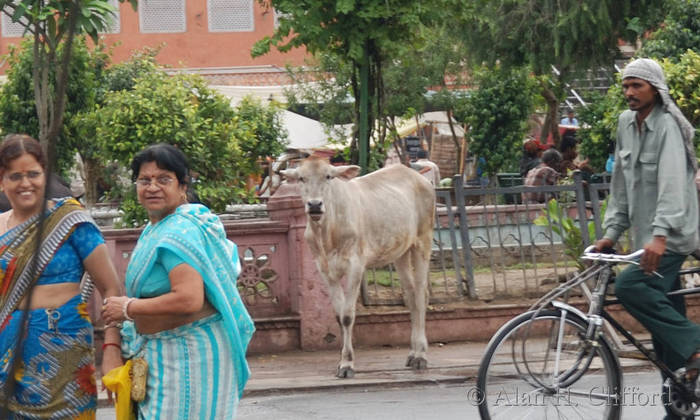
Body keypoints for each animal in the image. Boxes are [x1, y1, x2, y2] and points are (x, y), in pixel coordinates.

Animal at [282, 157, 434, 378]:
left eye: (328, 176)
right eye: (301, 178)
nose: (315, 205)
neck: (328, 231)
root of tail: (418, 177)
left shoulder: (355, 265)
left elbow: (347, 316)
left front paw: (347, 364)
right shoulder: (325, 270)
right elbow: (339, 316)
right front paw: (341, 361)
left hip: (422, 242)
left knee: (421, 296)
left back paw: (421, 355)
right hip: (401, 253)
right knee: (411, 296)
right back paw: (413, 353)